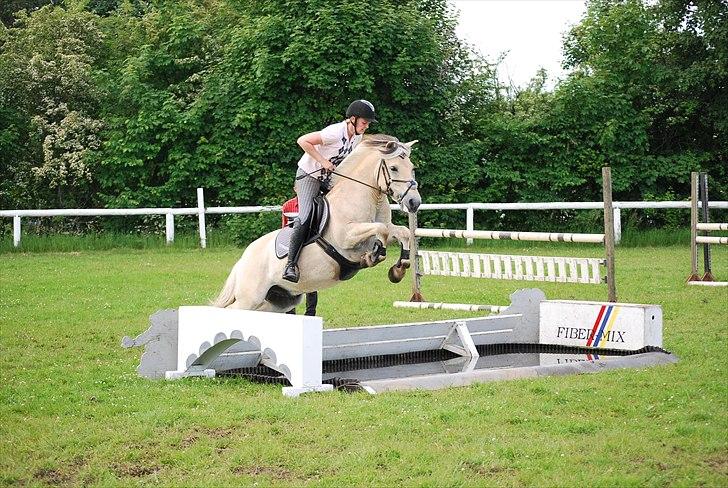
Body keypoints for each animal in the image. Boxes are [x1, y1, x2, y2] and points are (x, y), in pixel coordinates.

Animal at [210, 134, 424, 312]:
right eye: (394, 168)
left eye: (412, 168)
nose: (414, 202)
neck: (368, 197)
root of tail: (241, 261)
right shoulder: (347, 237)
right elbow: (381, 230)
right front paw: (374, 256)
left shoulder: (386, 229)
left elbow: (401, 232)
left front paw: (398, 269)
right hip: (250, 298)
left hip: (277, 301)